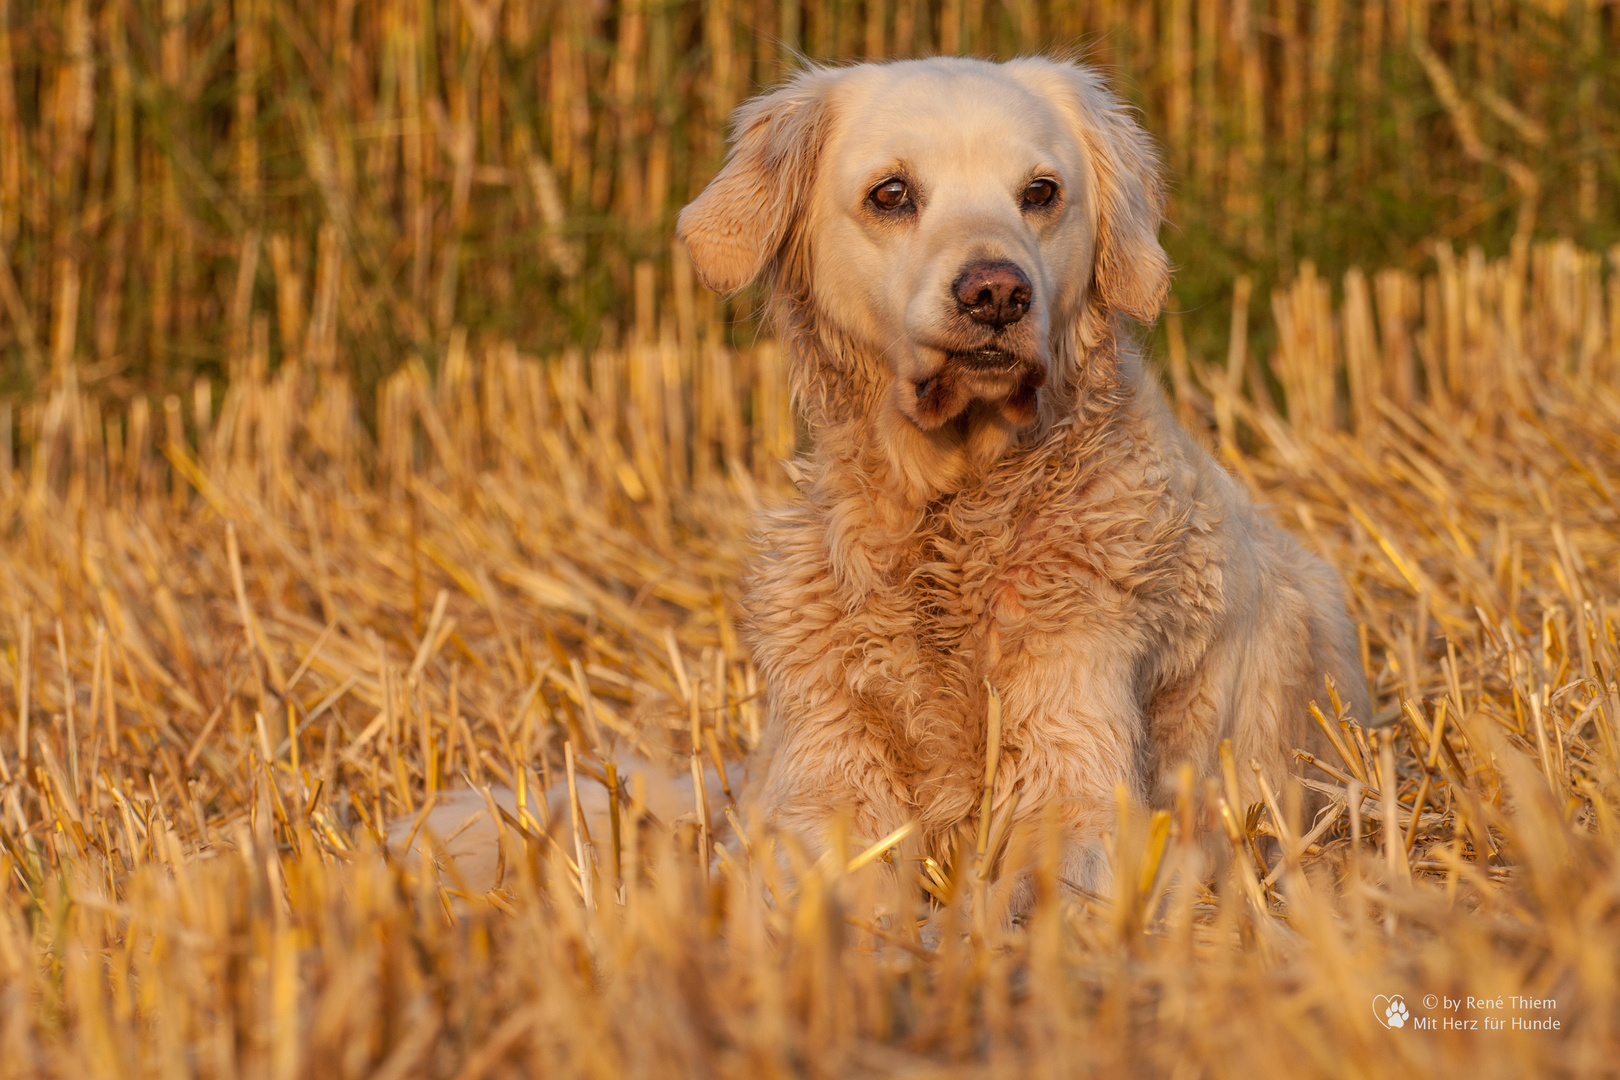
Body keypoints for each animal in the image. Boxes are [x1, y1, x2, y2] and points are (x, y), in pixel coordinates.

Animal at [673, 55, 1367, 893]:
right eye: (891, 193)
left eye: (1040, 192)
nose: (997, 292)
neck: (952, 511)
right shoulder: (821, 777)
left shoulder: (1076, 760)